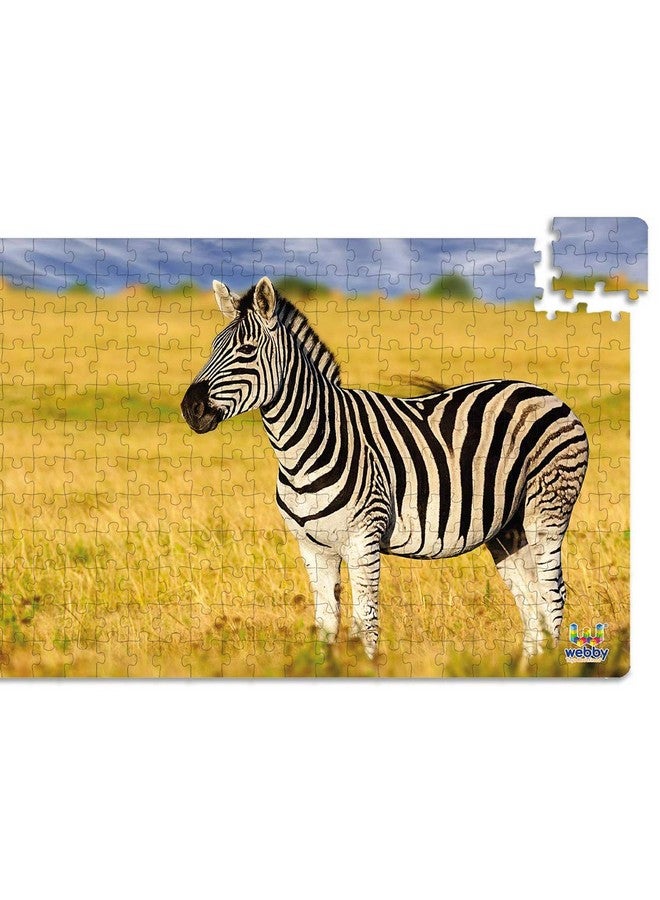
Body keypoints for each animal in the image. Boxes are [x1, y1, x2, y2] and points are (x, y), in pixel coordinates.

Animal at [182, 276, 589, 660]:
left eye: (246, 351)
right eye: (213, 348)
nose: (190, 409)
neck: (303, 449)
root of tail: (543, 392)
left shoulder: (363, 540)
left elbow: (366, 623)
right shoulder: (313, 548)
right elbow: (326, 624)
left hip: (547, 510)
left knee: (553, 594)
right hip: (507, 529)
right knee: (531, 600)